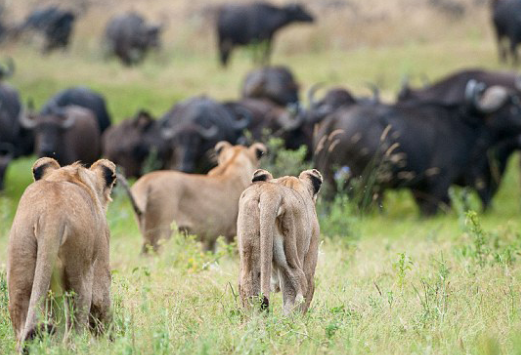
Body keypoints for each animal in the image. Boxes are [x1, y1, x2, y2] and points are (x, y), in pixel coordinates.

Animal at [314, 82, 520, 216]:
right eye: (511, 106)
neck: (466, 125)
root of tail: (333, 120)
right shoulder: (441, 180)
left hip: (330, 177)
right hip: (367, 178)